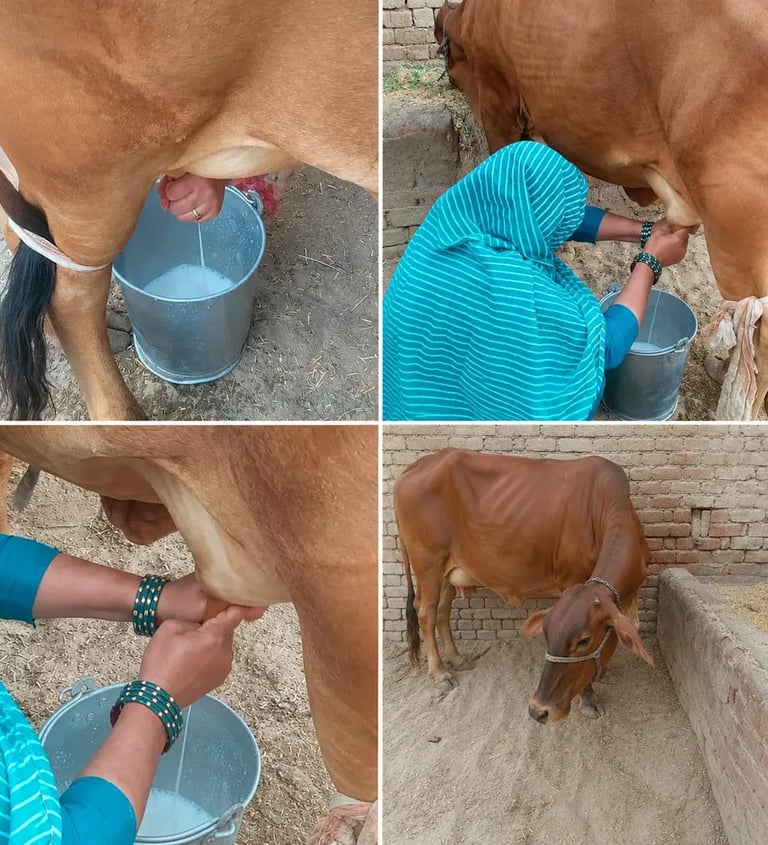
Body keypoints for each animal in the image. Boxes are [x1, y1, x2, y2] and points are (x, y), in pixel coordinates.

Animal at [394, 449, 654, 723]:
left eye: (584, 641)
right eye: (548, 633)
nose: (539, 709)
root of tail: (417, 465)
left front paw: (601, 672)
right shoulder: (573, 577)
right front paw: (588, 699)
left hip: (448, 572)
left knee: (442, 612)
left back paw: (457, 659)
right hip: (428, 565)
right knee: (425, 613)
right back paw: (440, 674)